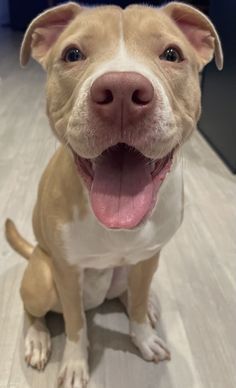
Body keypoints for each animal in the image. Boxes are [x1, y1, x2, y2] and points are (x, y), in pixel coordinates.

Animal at [5, 1, 223, 386]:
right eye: (73, 54)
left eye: (172, 54)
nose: (122, 91)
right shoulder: (65, 271)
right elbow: (75, 324)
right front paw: (75, 364)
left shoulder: (148, 258)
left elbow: (134, 306)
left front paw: (145, 337)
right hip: (42, 277)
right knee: (34, 310)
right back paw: (37, 339)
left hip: (136, 268)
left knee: (130, 293)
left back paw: (148, 307)